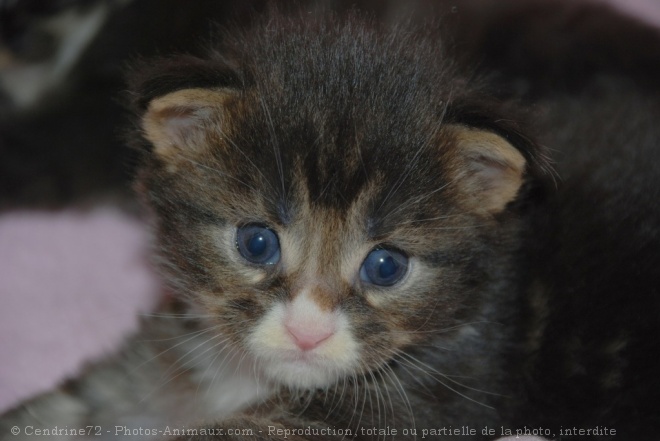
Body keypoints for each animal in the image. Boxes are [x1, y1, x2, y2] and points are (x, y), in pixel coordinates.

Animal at [1, 6, 660, 440]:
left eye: (386, 265)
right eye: (257, 243)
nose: (307, 332)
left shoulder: (423, 400)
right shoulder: (179, 347)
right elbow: (85, 401)